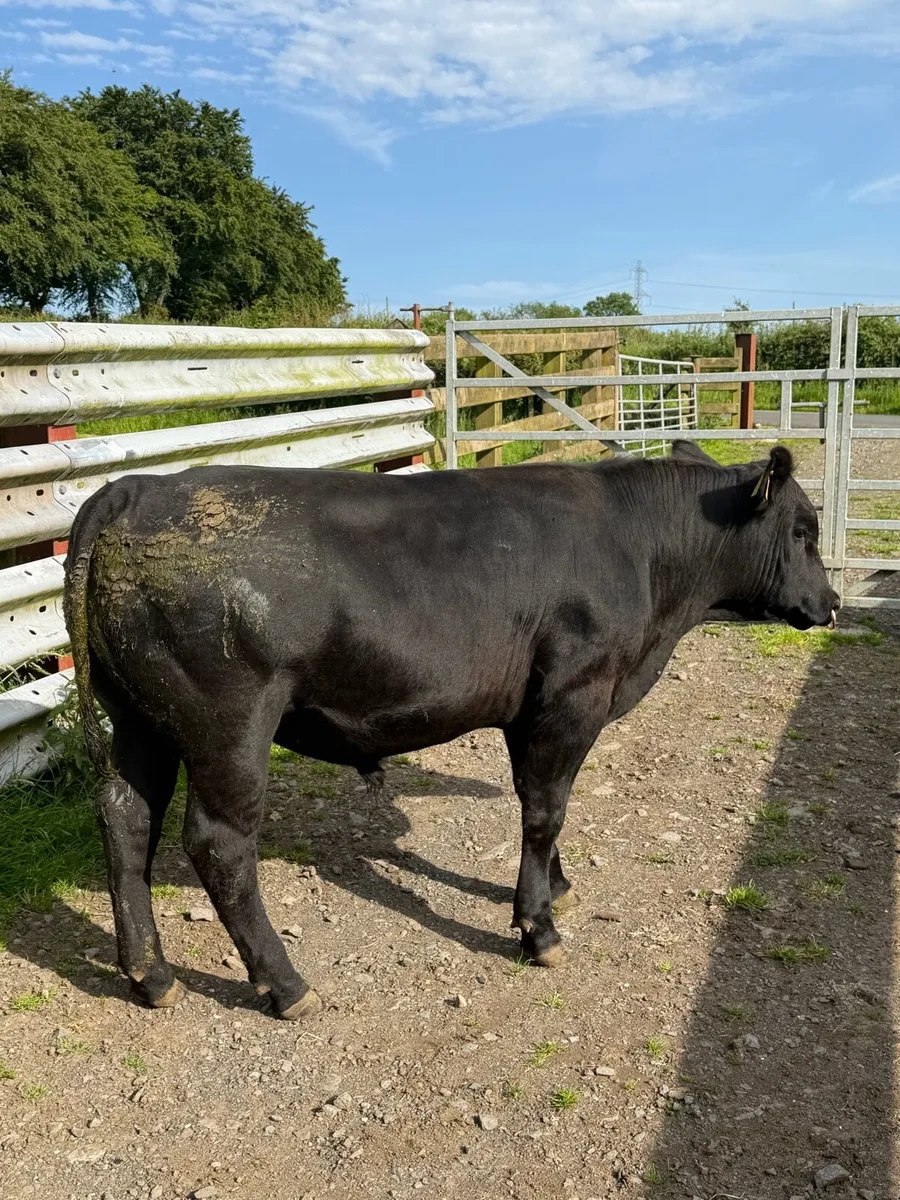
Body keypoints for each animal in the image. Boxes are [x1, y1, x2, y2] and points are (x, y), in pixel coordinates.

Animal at [63, 441, 838, 1020]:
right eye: (803, 532)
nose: (830, 603)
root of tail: (137, 490)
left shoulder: (529, 706)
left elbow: (540, 804)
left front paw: (555, 887)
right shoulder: (572, 695)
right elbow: (545, 810)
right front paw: (538, 929)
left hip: (139, 720)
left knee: (125, 820)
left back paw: (150, 975)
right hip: (229, 724)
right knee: (218, 844)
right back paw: (286, 985)